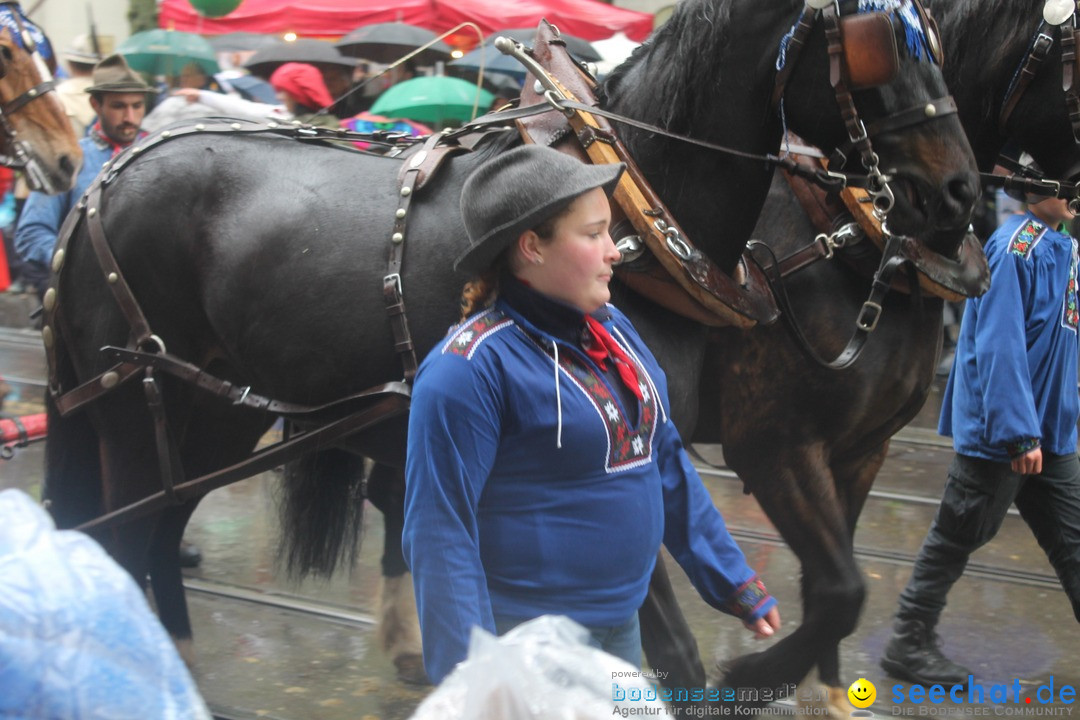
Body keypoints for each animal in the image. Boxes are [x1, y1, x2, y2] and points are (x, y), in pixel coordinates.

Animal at [42, 0, 976, 686]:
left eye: (937, 36)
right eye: (881, 41)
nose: (959, 191)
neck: (629, 201)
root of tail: (101, 185)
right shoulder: (755, 443)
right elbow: (675, 644)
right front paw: (749, 672)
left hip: (218, 417)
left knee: (156, 533)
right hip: (135, 411)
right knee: (117, 541)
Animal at [673, 0, 1080, 708]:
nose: (958, 190)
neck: (859, 243)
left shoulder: (863, 450)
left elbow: (832, 588)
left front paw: (830, 694)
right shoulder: (777, 446)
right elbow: (841, 591)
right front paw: (752, 676)